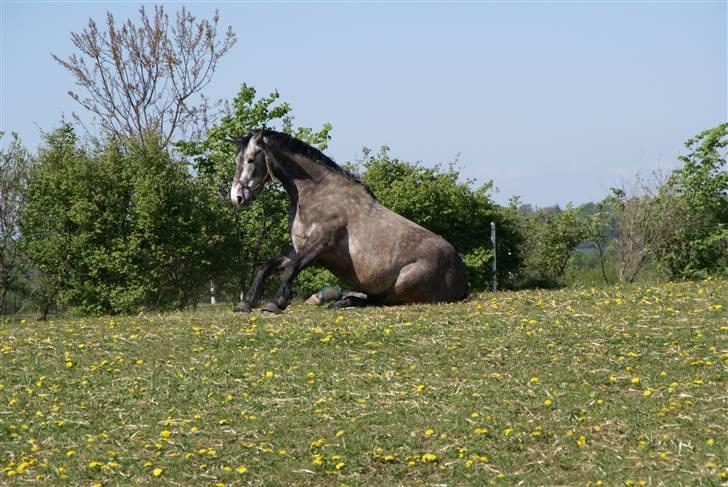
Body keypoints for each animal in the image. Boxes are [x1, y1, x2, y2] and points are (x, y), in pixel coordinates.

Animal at [229, 129, 466, 312]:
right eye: (237, 161)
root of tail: (461, 276)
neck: (317, 193)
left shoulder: (321, 245)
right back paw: (339, 301)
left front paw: (276, 303)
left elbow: (291, 269)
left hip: (403, 282)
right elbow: (267, 266)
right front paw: (246, 303)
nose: (237, 197)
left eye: (251, 160)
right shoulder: (299, 247)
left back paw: (340, 301)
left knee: (382, 300)